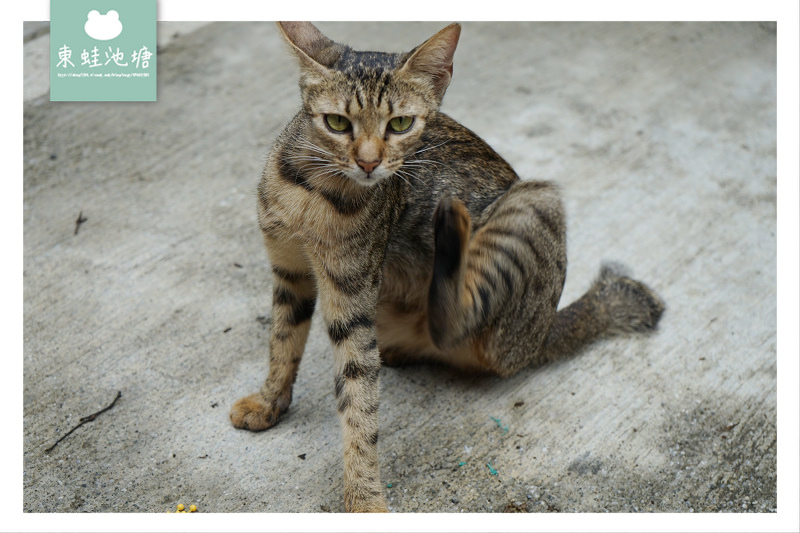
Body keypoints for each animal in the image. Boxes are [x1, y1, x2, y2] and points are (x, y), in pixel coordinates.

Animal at [230, 21, 664, 512]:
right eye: (337, 123)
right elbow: (282, 341)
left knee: (454, 319)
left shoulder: (352, 298)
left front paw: (364, 497)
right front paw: (269, 401)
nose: (368, 162)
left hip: (533, 204)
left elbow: (359, 402)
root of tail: (542, 332)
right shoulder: (291, 272)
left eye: (401, 124)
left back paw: (452, 229)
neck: (312, 191)